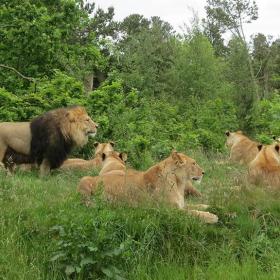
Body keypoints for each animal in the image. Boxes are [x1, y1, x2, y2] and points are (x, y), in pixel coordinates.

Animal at [77, 151, 218, 223]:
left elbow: (198, 206)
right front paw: (212, 217)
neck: (179, 183)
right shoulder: (169, 211)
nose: (203, 172)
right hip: (84, 180)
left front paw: (211, 207)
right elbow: (193, 213)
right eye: (194, 163)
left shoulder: (180, 204)